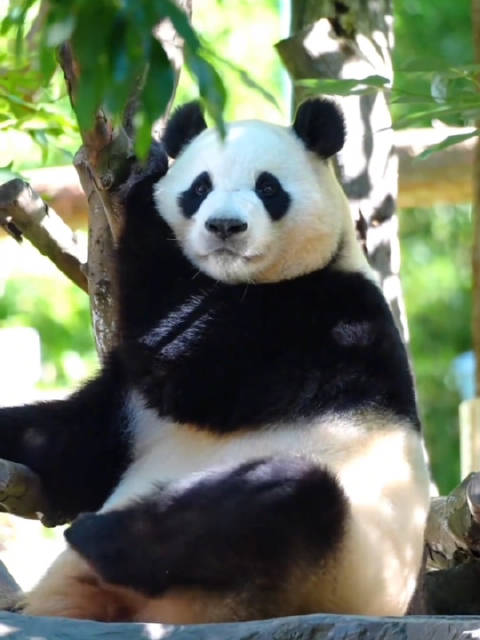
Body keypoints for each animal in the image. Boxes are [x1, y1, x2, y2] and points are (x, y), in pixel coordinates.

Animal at [0, 98, 430, 623]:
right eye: (200, 187)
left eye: (268, 187)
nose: (225, 226)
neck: (241, 283)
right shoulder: (127, 412)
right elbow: (70, 444)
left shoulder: (326, 322)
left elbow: (183, 362)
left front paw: (146, 174)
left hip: (341, 558)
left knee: (279, 498)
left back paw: (98, 535)